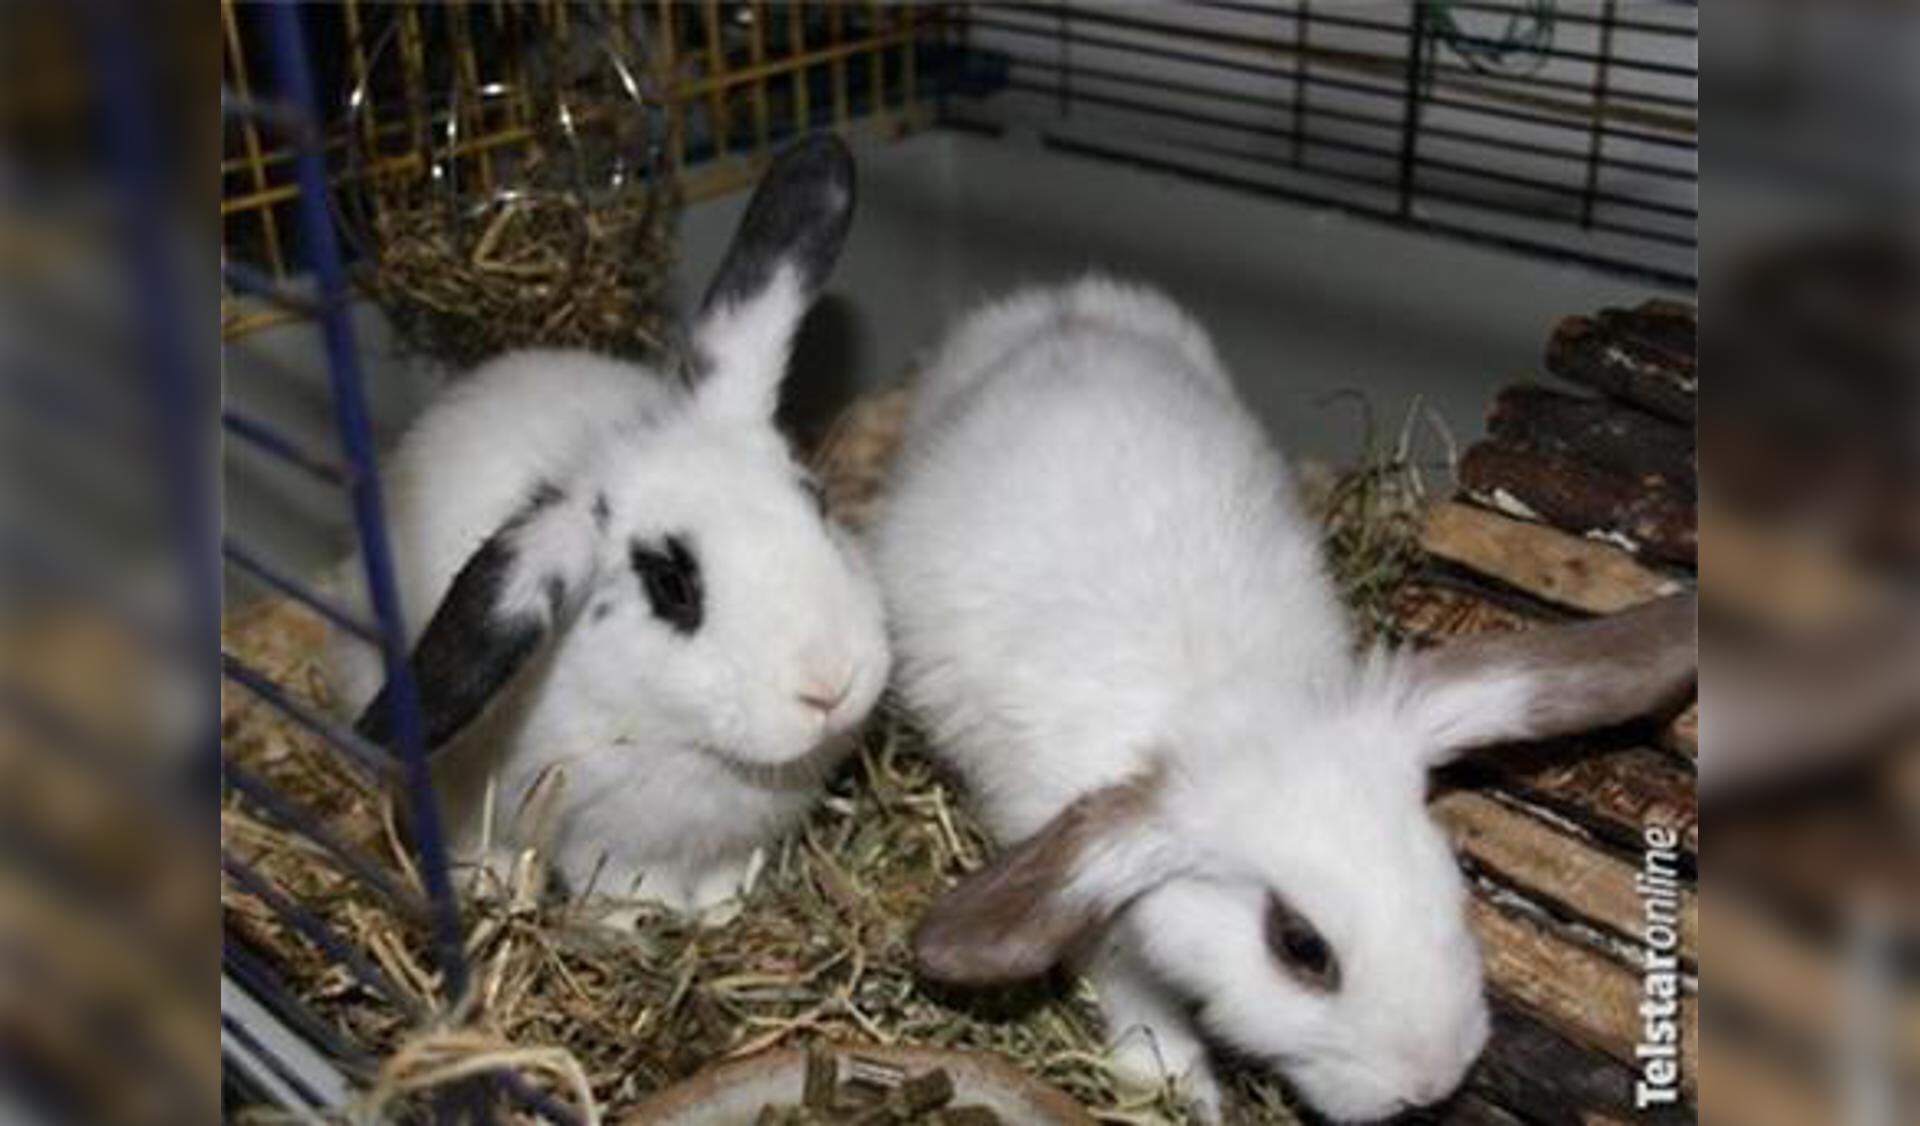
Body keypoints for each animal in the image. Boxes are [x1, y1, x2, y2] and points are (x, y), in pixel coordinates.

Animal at [875, 274, 1697, 1114]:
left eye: (1452, 875)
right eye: (1300, 947)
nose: (1432, 1081)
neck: (1236, 710)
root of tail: (1058, 311)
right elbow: (1137, 996)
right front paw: (1184, 1091)